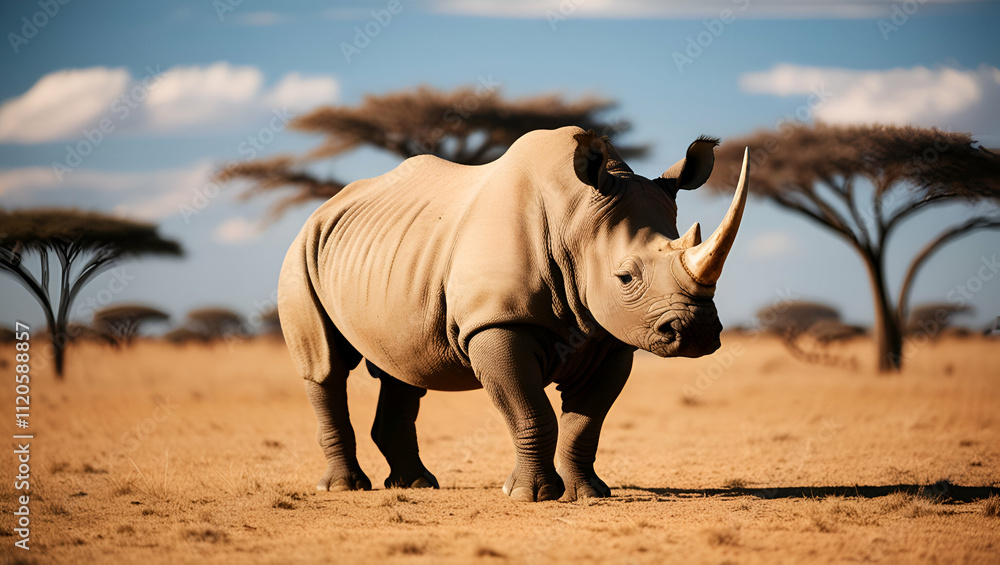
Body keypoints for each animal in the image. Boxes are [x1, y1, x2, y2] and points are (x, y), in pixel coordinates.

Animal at [278, 126, 749, 502]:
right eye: (625, 278)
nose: (697, 332)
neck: (575, 220)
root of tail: (324, 208)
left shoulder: (608, 335)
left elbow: (586, 422)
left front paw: (588, 493)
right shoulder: (495, 322)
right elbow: (531, 412)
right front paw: (530, 495)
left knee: (401, 367)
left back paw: (416, 484)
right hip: (300, 251)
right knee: (325, 366)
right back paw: (343, 487)